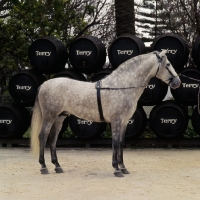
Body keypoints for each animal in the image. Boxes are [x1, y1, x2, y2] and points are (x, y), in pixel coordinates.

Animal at [30, 50, 181, 177]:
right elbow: (115, 142)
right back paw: (44, 167)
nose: (177, 82)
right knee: (43, 136)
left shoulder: (124, 122)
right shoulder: (116, 121)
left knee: (53, 139)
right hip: (49, 116)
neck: (122, 86)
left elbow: (121, 143)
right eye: (168, 64)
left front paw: (123, 167)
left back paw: (57, 166)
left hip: (59, 118)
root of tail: (43, 85)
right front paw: (116, 169)